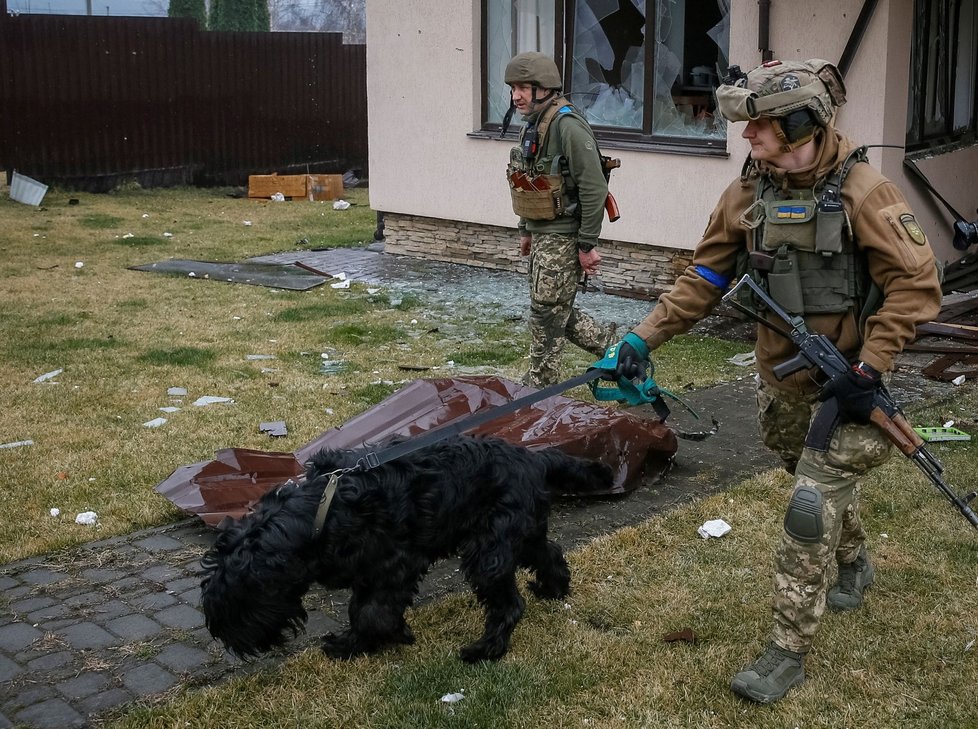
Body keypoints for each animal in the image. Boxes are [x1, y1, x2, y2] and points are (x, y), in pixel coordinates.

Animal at [199, 436, 608, 664]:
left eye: (237, 600)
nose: (230, 641)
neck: (320, 513)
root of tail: (534, 458)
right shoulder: (368, 572)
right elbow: (363, 609)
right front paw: (376, 637)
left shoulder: (396, 565)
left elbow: (370, 613)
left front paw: (367, 641)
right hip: (520, 536)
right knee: (550, 553)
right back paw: (553, 589)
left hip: (489, 550)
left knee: (509, 604)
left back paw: (485, 650)